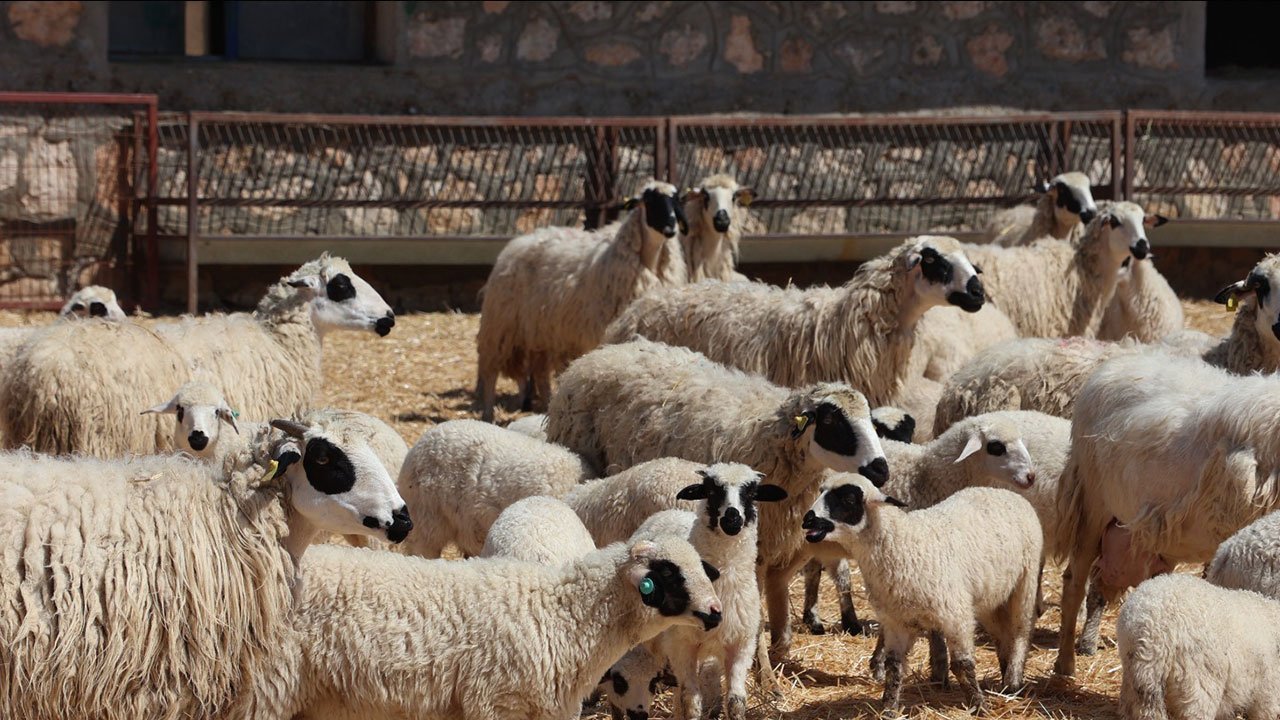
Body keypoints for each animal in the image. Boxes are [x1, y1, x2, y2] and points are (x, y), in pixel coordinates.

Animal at [475, 180, 688, 421]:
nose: (671, 228)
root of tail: (522, 240)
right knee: (490, 372)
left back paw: (547, 404)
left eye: (676, 200)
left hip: (542, 332)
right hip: (502, 326)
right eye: (650, 200)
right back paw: (487, 414)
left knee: (540, 373)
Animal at [803, 480, 1041, 715]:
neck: (902, 544)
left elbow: (962, 665)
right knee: (1001, 634)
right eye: (821, 491)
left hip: (1026, 582)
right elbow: (894, 666)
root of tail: (1002, 491)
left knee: (1021, 631)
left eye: (849, 499)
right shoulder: (896, 622)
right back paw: (1005, 672)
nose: (807, 520)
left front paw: (979, 706)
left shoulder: (956, 617)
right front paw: (889, 708)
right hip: (991, 598)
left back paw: (1013, 682)